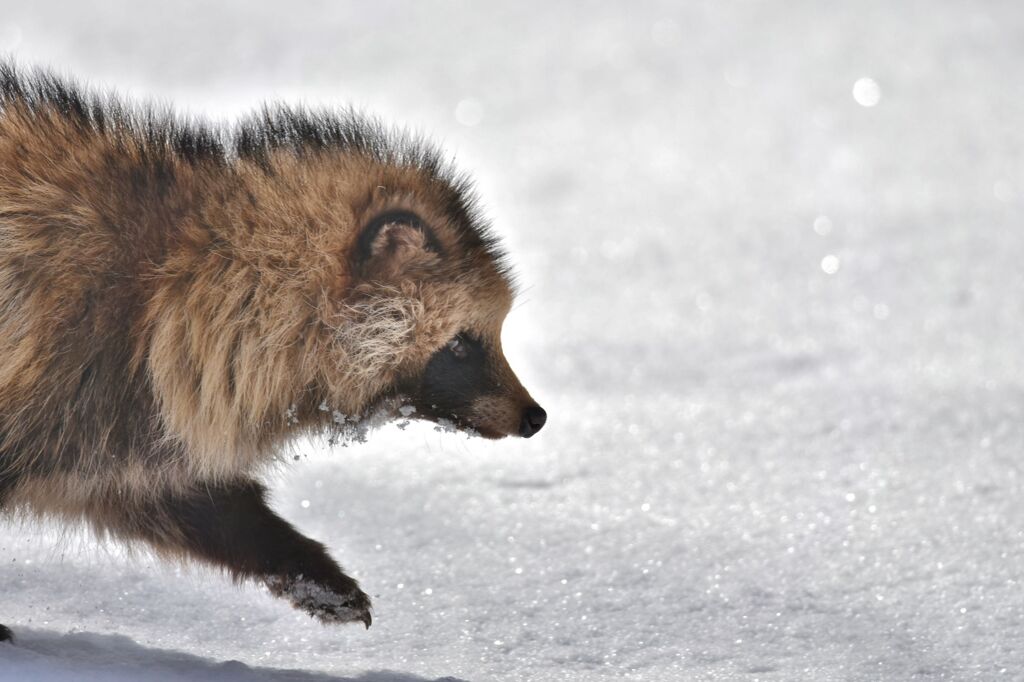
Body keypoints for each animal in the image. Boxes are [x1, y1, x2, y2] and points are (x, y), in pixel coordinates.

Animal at [0, 65, 544, 638]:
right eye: (461, 345)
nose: (536, 417)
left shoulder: (120, 423)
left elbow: (187, 502)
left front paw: (309, 570)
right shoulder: (69, 366)